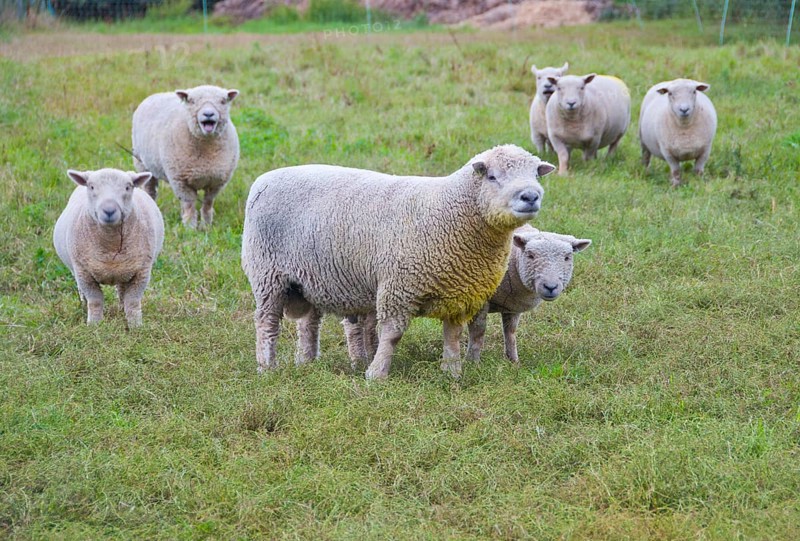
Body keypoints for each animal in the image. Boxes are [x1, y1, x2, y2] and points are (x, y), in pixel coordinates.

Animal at [53, 168, 164, 328]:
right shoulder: (84, 273)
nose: (109, 210)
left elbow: (132, 301)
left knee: (122, 292)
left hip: (125, 271)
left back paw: (121, 310)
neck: (111, 245)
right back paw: (83, 307)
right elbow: (95, 301)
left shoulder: (141, 272)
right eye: (92, 187)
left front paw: (135, 326)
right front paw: (94, 325)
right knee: (83, 293)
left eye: (127, 187)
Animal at [131, 85, 239, 228]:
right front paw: (190, 227)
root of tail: (158, 94)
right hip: (142, 164)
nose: (208, 114)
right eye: (192, 101)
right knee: (150, 191)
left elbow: (207, 204)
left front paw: (206, 225)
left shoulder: (216, 181)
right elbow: (189, 205)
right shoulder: (180, 180)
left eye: (223, 101)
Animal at [242, 145, 554, 380]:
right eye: (492, 176)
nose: (531, 196)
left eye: (536, 175)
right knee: (267, 322)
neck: (450, 211)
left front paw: (452, 371)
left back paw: (306, 363)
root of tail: (264, 179)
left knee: (309, 323)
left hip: (310, 278)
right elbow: (392, 335)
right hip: (268, 274)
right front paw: (376, 374)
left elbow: (453, 336)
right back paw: (266, 367)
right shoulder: (399, 287)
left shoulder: (459, 294)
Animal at [340, 226, 591, 367]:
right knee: (354, 326)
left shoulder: (512, 307)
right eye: (530, 255)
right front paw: (473, 362)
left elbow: (510, 333)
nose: (550, 286)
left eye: (568, 257)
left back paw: (370, 353)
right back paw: (358, 361)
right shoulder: (481, 301)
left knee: (368, 323)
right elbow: (478, 332)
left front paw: (513, 361)